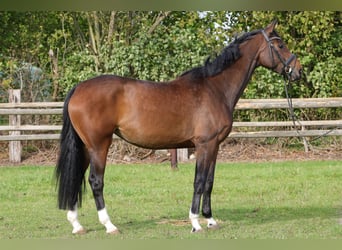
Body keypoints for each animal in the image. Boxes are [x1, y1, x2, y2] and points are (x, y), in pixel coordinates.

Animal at [54, 21, 300, 234]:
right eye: (280, 45)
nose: (298, 71)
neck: (215, 88)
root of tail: (78, 88)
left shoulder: (214, 146)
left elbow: (209, 182)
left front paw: (210, 219)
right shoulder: (204, 145)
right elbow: (199, 181)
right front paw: (196, 223)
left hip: (85, 147)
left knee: (76, 177)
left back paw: (77, 224)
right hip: (99, 145)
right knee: (95, 181)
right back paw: (109, 225)